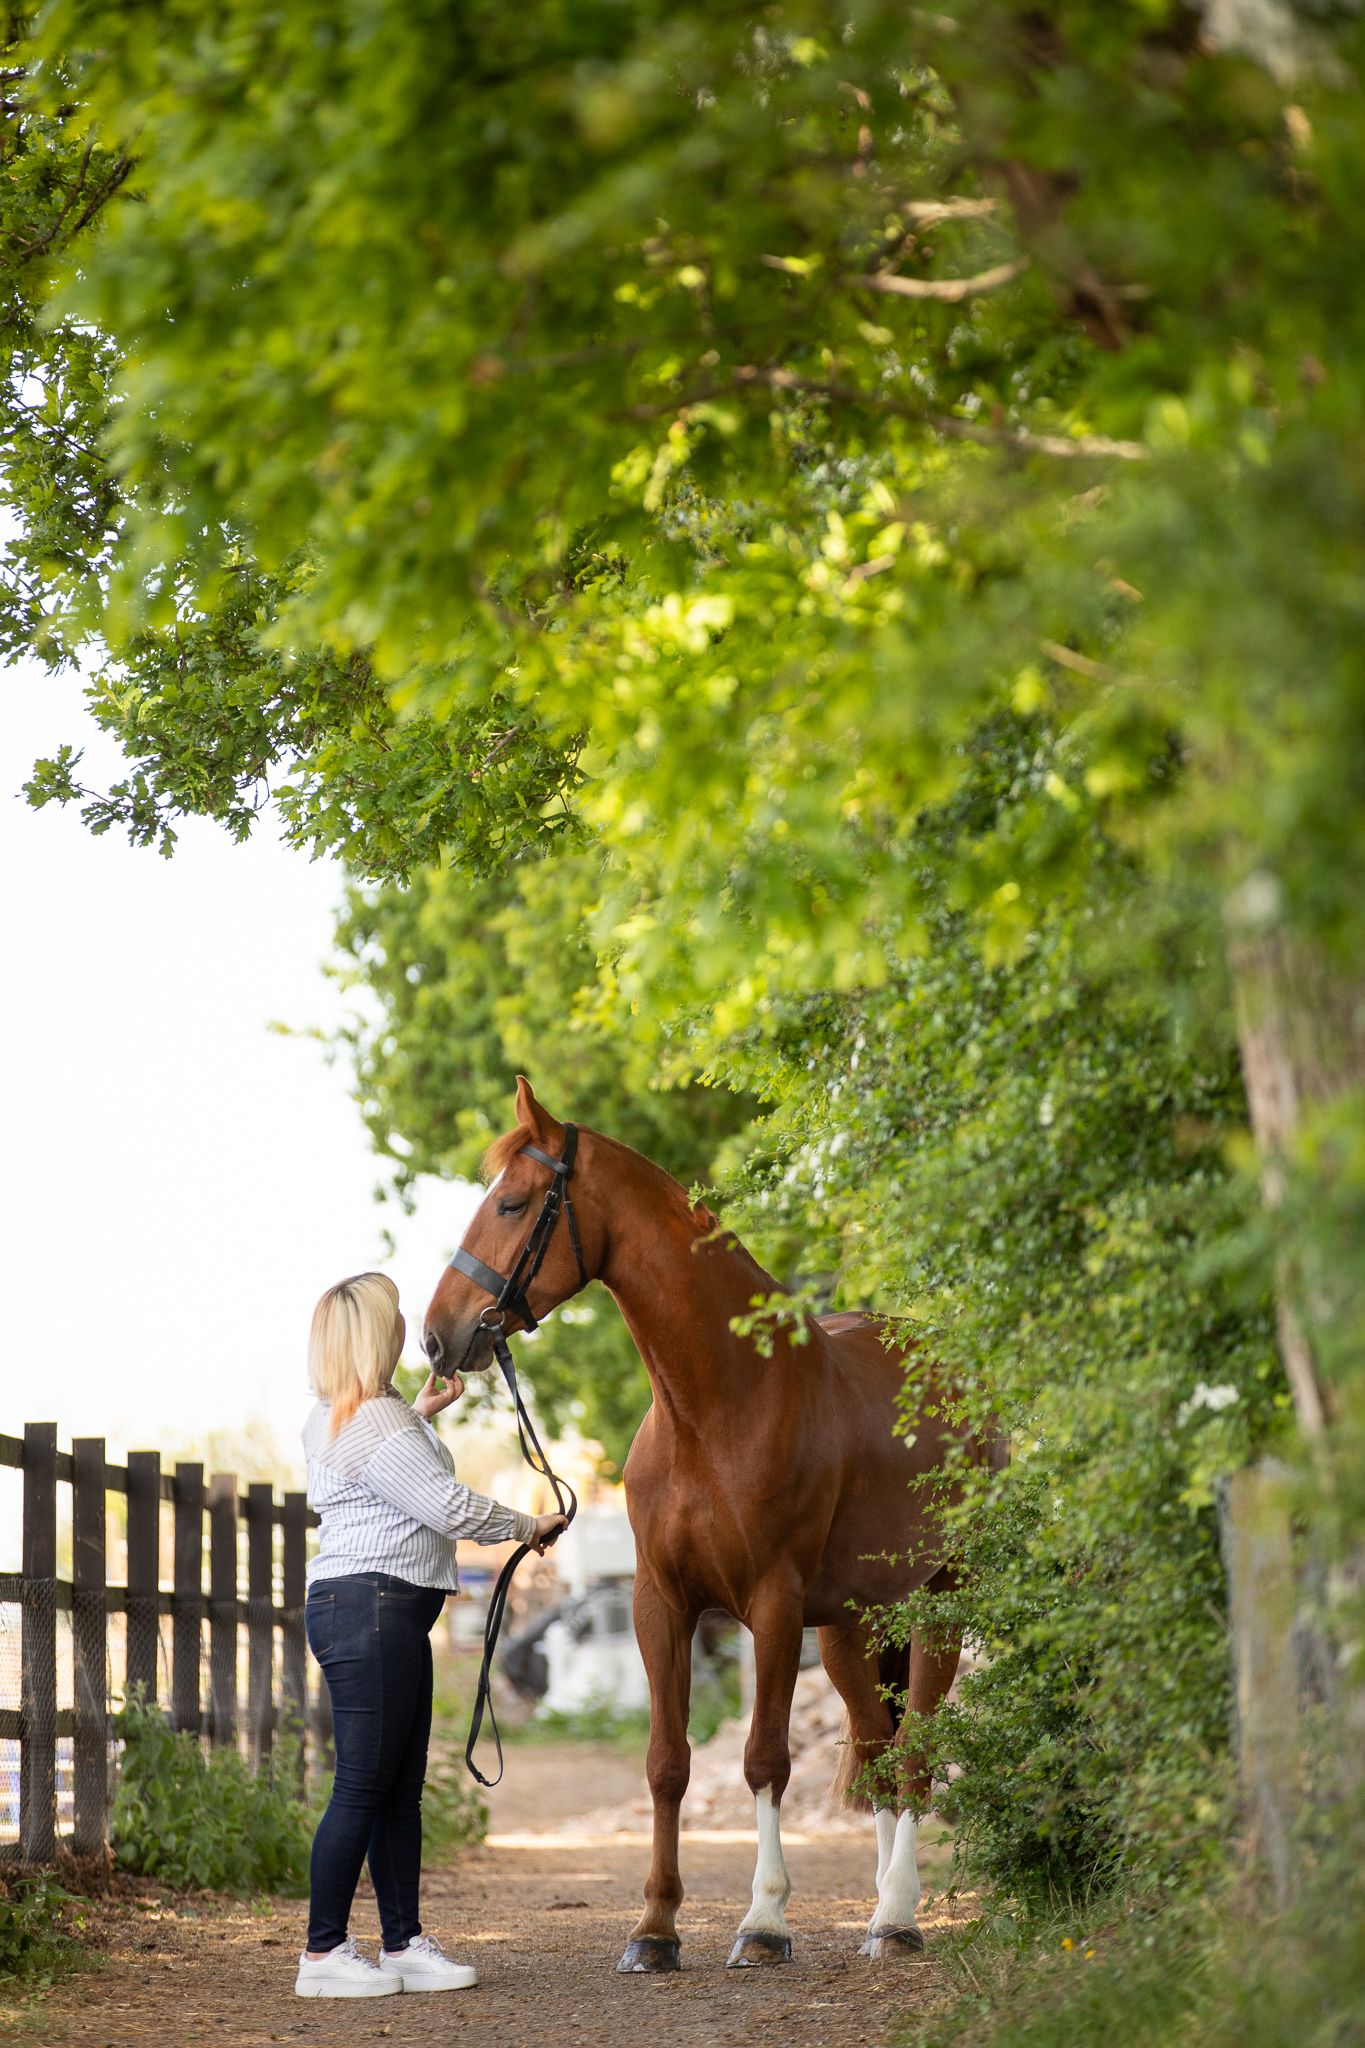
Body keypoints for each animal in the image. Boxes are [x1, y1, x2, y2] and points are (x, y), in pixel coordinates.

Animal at [423, 1076, 995, 1974]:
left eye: (512, 1203)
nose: (438, 1336)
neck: (716, 1404)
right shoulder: (662, 1604)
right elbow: (666, 1764)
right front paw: (654, 1929)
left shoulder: (771, 1607)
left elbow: (764, 1760)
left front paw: (763, 1922)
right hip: (850, 1627)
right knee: (875, 1750)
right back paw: (879, 1910)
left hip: (939, 1602)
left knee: (916, 1754)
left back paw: (899, 1917)